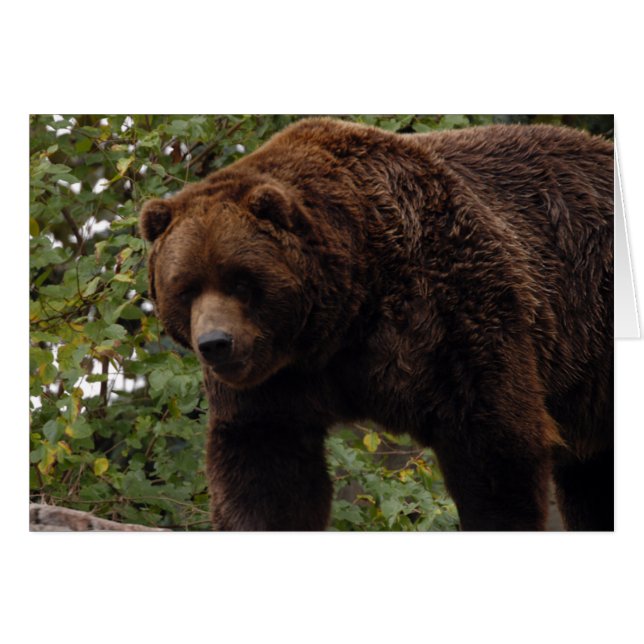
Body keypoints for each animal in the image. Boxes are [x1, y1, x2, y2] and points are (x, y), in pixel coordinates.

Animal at [139, 117, 614, 531]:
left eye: (241, 280)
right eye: (185, 287)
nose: (215, 343)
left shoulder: (455, 307)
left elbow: (494, 439)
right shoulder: (275, 380)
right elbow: (265, 465)